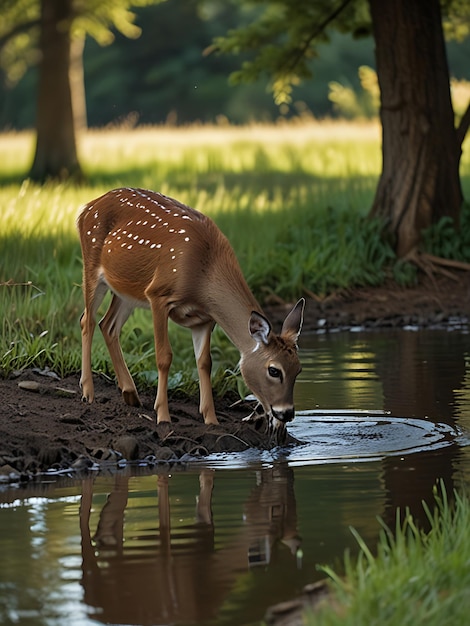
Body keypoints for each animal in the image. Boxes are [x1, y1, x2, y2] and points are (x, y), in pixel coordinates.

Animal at [77, 188, 304, 436]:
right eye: (274, 370)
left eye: (299, 370)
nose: (287, 413)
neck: (203, 277)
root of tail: (86, 208)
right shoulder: (158, 294)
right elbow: (164, 356)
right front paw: (163, 416)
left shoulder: (204, 319)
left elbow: (205, 362)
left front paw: (211, 419)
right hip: (92, 265)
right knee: (87, 320)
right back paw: (88, 392)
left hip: (126, 291)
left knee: (108, 325)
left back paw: (130, 394)